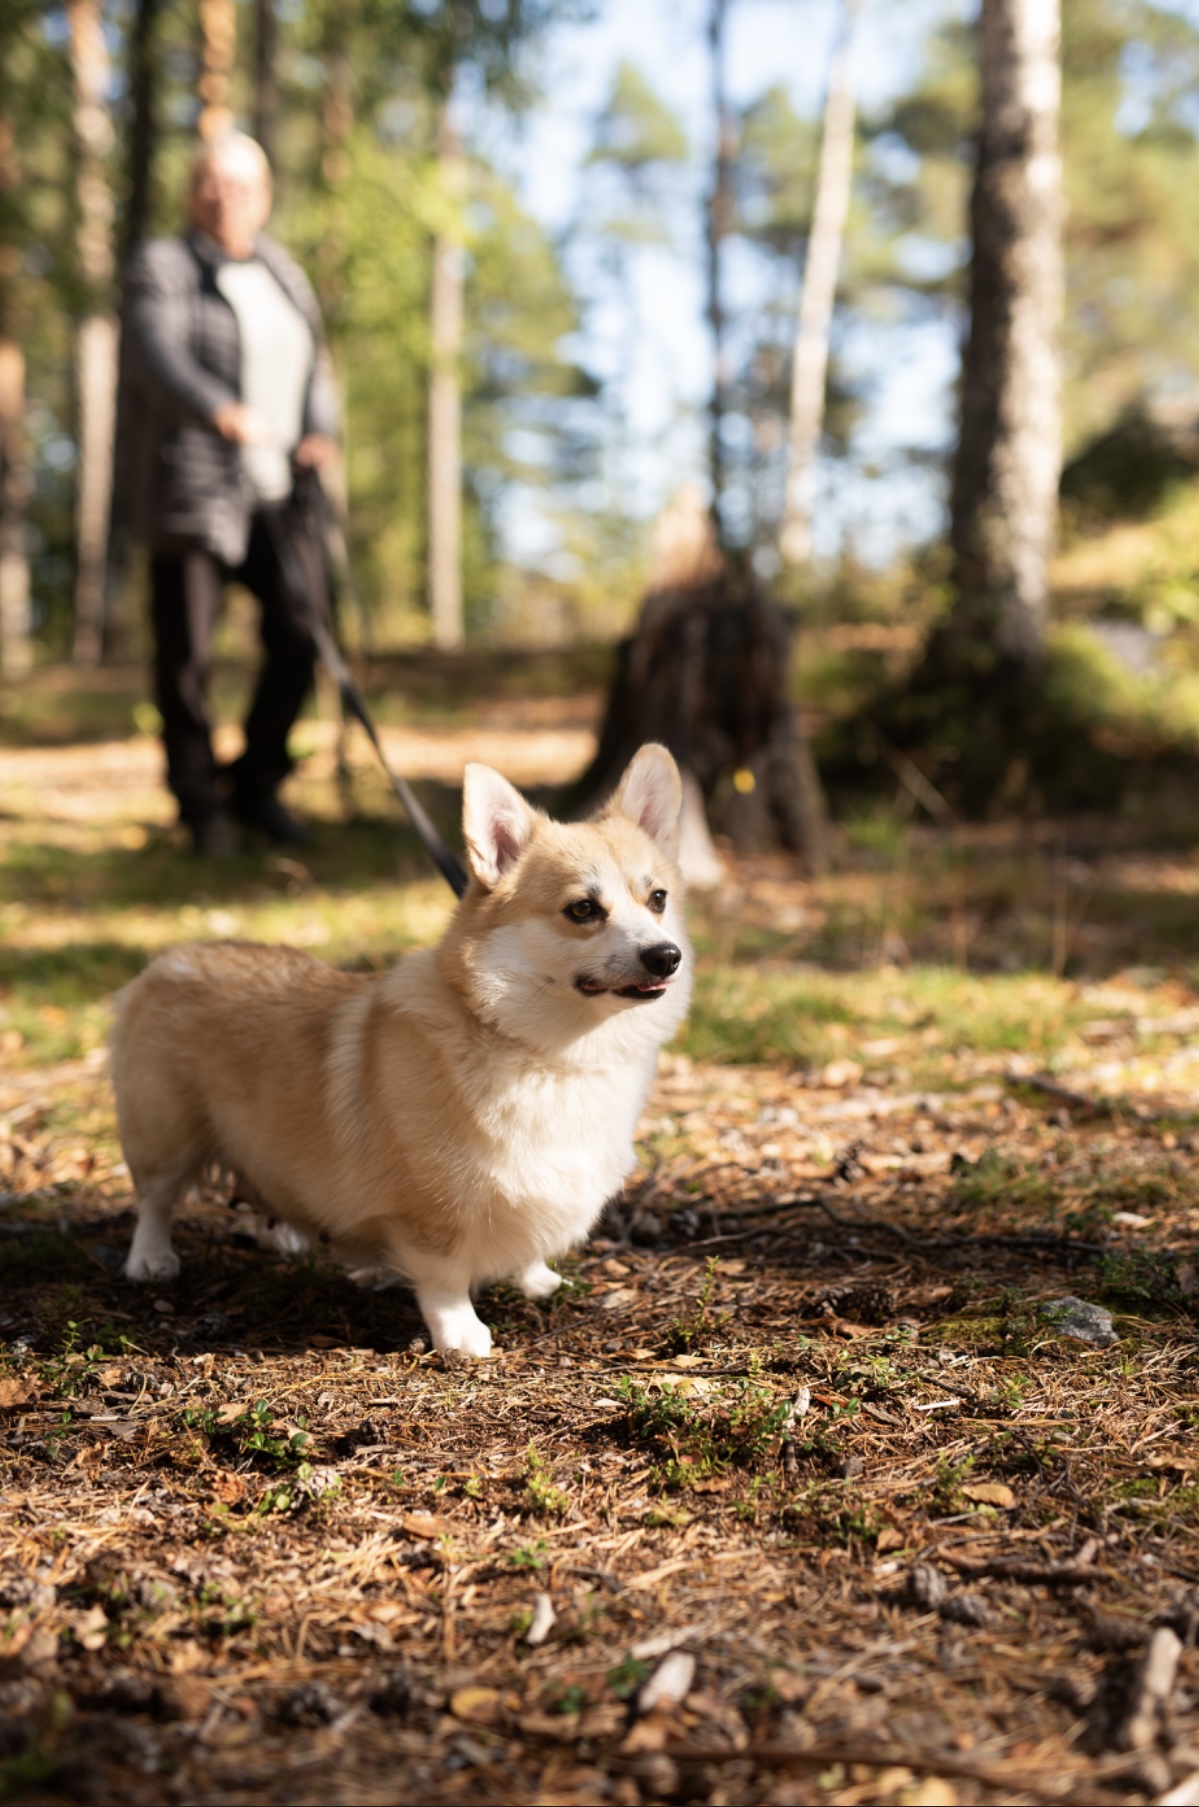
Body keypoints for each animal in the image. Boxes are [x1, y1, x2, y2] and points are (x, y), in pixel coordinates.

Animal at [114, 740, 693, 1351]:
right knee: (154, 1198)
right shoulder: (431, 1210)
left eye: (657, 898)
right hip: (166, 1132)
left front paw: (536, 1280)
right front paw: (461, 1336)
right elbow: (444, 1278)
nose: (666, 956)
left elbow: (529, 1246)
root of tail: (168, 959)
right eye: (582, 909)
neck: (549, 1051)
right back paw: (151, 1259)